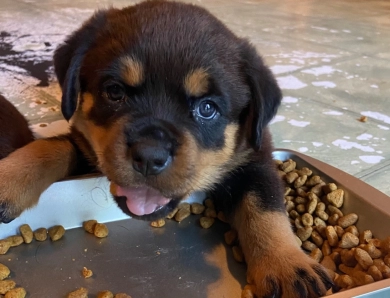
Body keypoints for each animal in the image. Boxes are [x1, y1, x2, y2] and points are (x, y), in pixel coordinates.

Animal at [0, 1, 332, 296]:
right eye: (114, 91)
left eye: (207, 108)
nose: (150, 156)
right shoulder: (83, 142)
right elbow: (50, 146)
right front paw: (9, 179)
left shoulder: (255, 156)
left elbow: (264, 207)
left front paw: (287, 266)